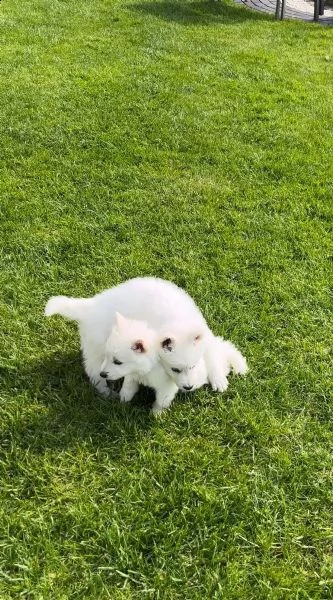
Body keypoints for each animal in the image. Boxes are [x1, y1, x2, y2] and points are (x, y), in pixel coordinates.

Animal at [44, 276, 246, 412]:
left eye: (193, 366)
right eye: (175, 369)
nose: (189, 388)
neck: (178, 320)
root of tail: (90, 306)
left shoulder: (204, 337)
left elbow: (211, 354)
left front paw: (218, 378)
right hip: (98, 349)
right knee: (94, 371)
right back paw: (106, 391)